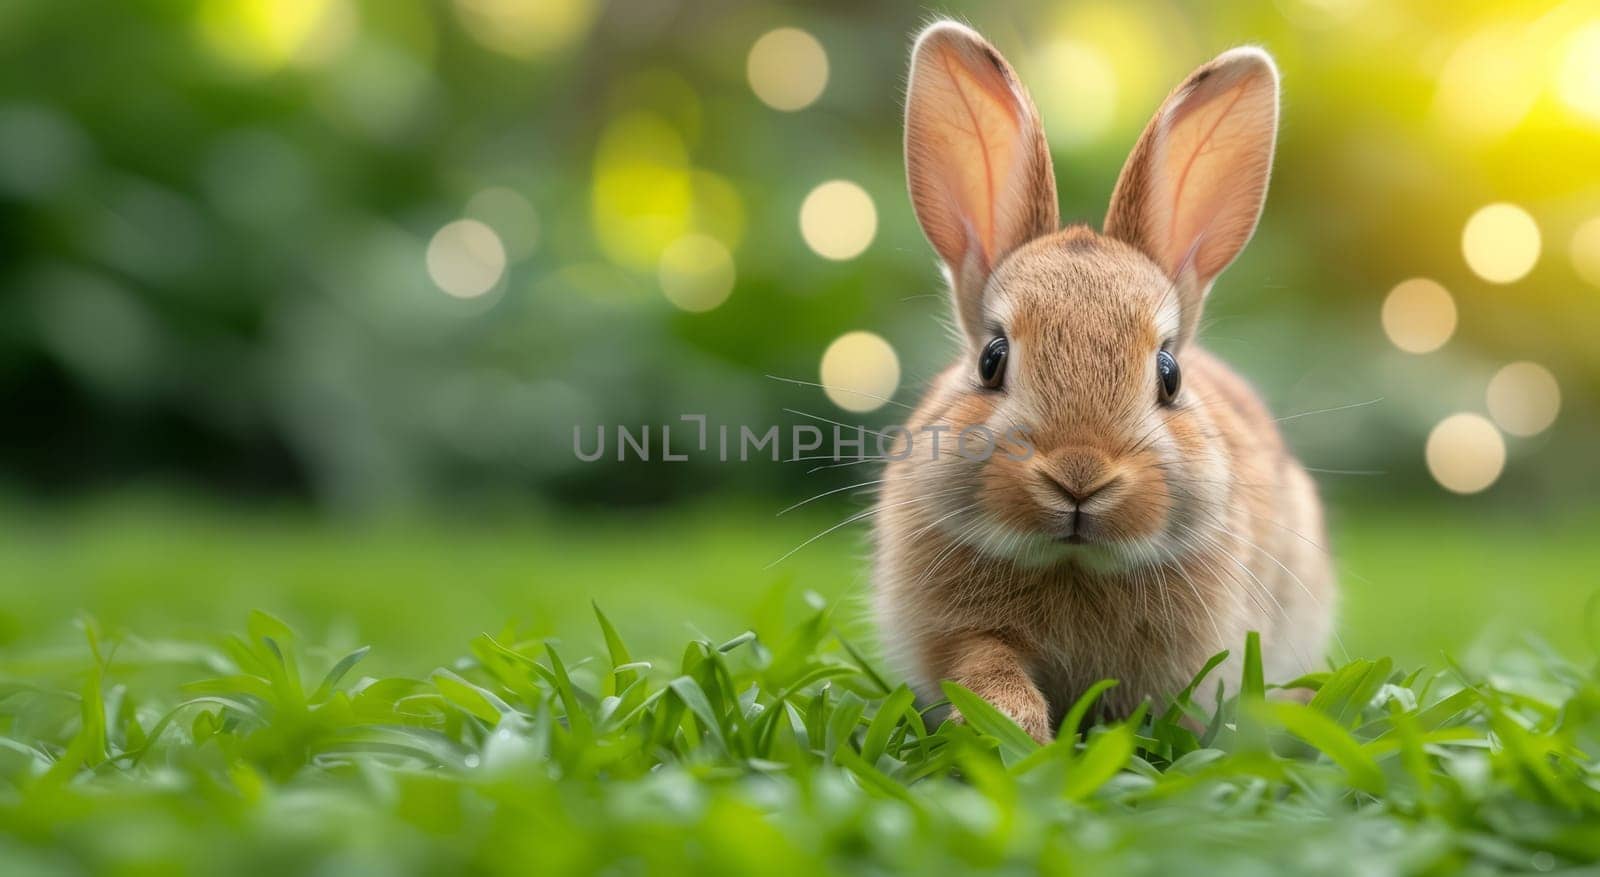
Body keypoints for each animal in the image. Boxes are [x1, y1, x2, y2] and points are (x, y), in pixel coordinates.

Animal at [870, 22, 1331, 739]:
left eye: (1169, 375)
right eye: (992, 360)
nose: (1079, 475)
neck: (1073, 562)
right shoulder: (958, 634)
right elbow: (984, 664)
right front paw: (1015, 726)